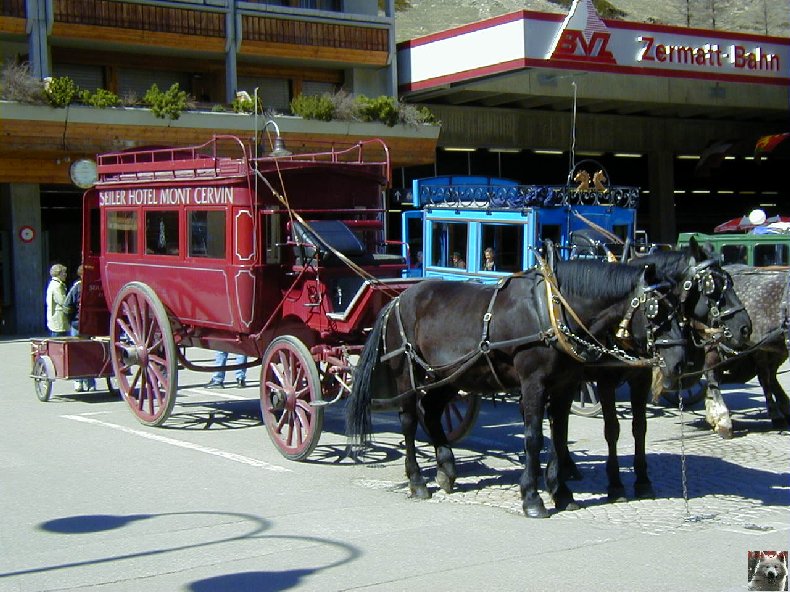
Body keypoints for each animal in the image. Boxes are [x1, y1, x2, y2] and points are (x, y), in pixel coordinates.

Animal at [346, 262, 688, 516]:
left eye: (680, 307)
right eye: (655, 310)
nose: (678, 362)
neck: (553, 310)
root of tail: (397, 300)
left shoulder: (565, 386)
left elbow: (559, 438)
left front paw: (562, 492)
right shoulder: (534, 383)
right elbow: (533, 437)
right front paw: (532, 497)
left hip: (449, 377)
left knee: (430, 413)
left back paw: (446, 469)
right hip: (408, 374)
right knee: (408, 420)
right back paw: (418, 480)